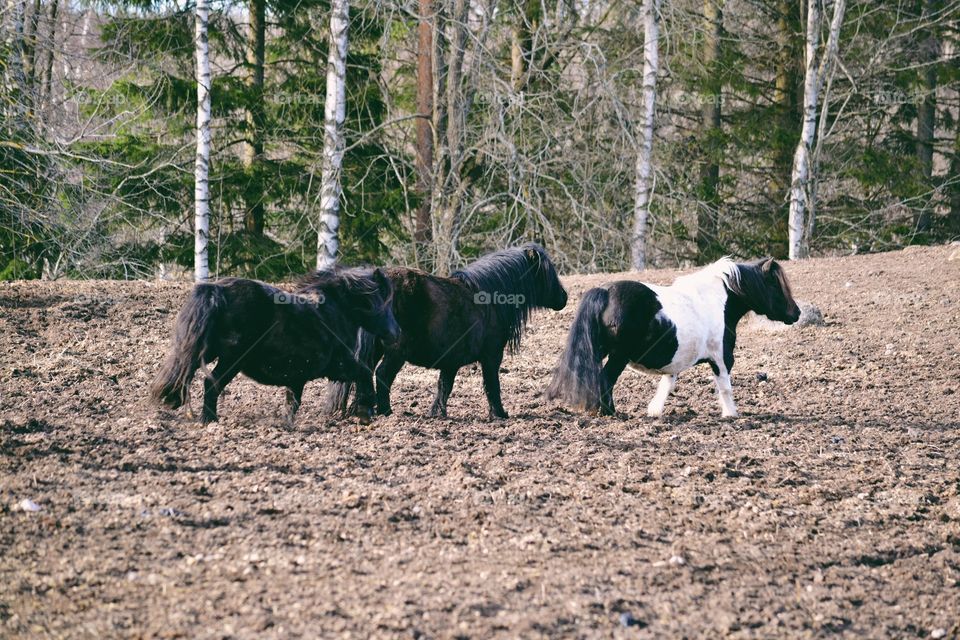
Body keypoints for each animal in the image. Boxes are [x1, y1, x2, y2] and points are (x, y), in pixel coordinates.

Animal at [151, 266, 398, 424]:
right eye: (384, 303)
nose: (397, 333)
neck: (334, 311)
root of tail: (218, 290)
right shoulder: (339, 366)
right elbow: (364, 372)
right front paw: (366, 411)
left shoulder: (298, 374)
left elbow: (293, 400)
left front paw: (287, 423)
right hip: (231, 360)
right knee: (211, 384)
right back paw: (209, 420)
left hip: (205, 352)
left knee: (185, 373)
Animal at [322, 244, 568, 420]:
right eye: (548, 273)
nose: (564, 298)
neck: (488, 299)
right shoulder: (491, 356)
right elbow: (492, 385)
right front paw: (499, 414)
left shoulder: (451, 361)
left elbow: (444, 387)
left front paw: (437, 413)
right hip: (395, 353)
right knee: (382, 375)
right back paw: (385, 412)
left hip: (375, 350)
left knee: (364, 374)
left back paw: (364, 410)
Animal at [548, 258, 804, 418]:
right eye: (776, 286)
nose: (797, 313)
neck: (716, 301)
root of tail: (606, 291)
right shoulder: (721, 360)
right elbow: (725, 388)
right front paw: (731, 414)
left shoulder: (675, 362)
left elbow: (667, 385)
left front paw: (654, 411)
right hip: (618, 356)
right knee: (606, 379)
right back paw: (609, 412)